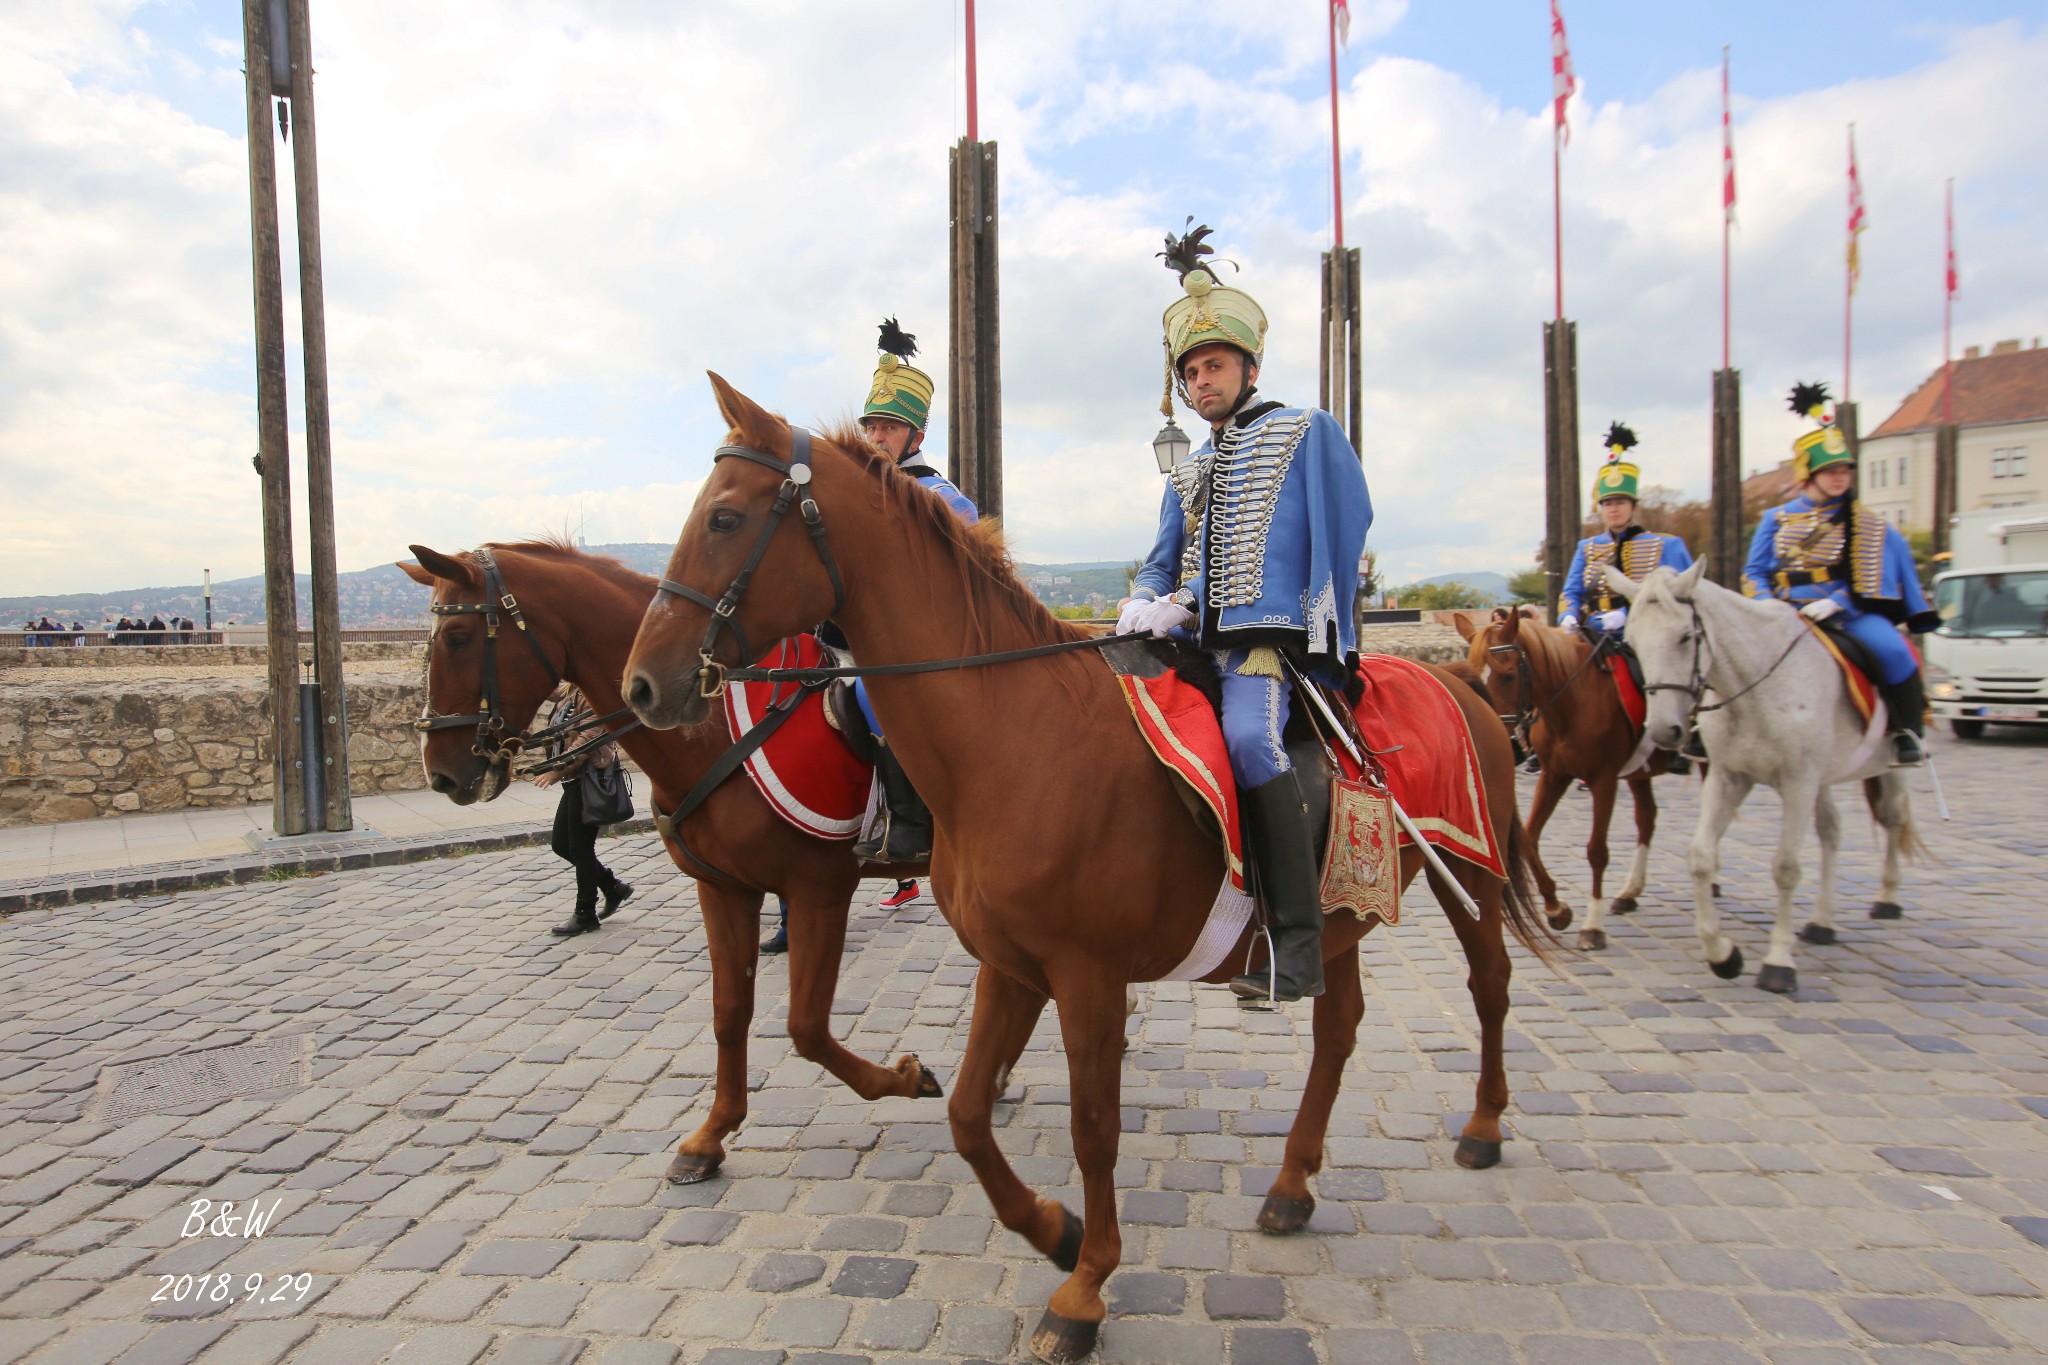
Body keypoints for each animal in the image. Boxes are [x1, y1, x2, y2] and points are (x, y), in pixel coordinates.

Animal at [622, 376, 1548, 1365]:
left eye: (723, 517)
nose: (644, 684)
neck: (1015, 734)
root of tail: (1462, 687)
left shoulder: (1087, 975)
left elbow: (1093, 1127)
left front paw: (1086, 1285)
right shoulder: (1010, 963)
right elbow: (966, 1112)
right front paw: (1054, 1229)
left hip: (1471, 876)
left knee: (1491, 983)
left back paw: (1483, 1126)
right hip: (1342, 920)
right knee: (1338, 1028)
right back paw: (1292, 1183)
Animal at [1458, 609, 1662, 949]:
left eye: (1508, 675)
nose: (1496, 737)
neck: (1575, 700)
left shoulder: (1604, 779)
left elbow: (1597, 850)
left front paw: (1592, 926)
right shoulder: (1554, 775)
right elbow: (1528, 838)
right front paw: (1555, 908)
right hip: (1639, 771)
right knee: (1646, 817)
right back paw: (1629, 892)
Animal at [1597, 560, 1916, 998]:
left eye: (1685, 637)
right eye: (1632, 643)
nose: (1664, 729)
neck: (1754, 689)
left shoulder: (1798, 782)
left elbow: (1786, 867)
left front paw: (1778, 962)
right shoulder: (1730, 775)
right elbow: (1700, 857)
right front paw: (1722, 954)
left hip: (1885, 768)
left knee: (1892, 818)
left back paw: (1887, 897)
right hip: (1823, 778)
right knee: (1831, 831)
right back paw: (1822, 920)